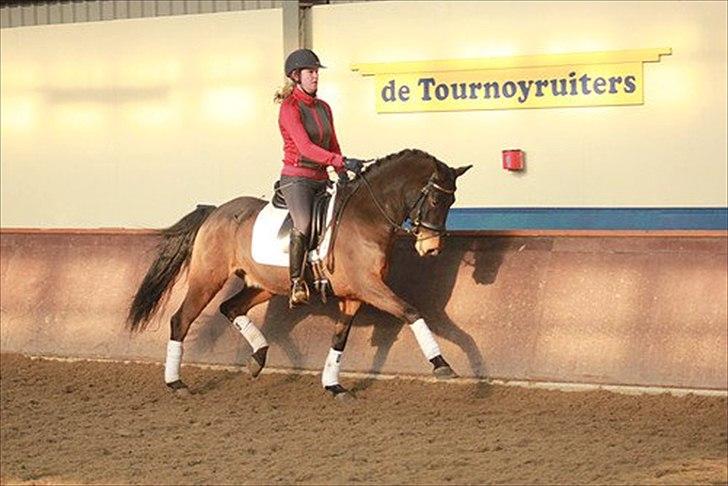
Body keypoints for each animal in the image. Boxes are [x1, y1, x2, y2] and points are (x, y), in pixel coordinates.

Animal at [126, 148, 472, 398]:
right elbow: (412, 311)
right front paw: (441, 365)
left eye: (452, 200)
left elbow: (339, 338)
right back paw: (176, 383)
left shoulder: (353, 295)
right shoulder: (369, 286)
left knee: (231, 307)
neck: (366, 216)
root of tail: (215, 211)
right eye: (436, 198)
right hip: (207, 279)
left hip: (263, 284)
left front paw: (333, 385)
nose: (431, 248)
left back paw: (257, 360)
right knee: (181, 320)